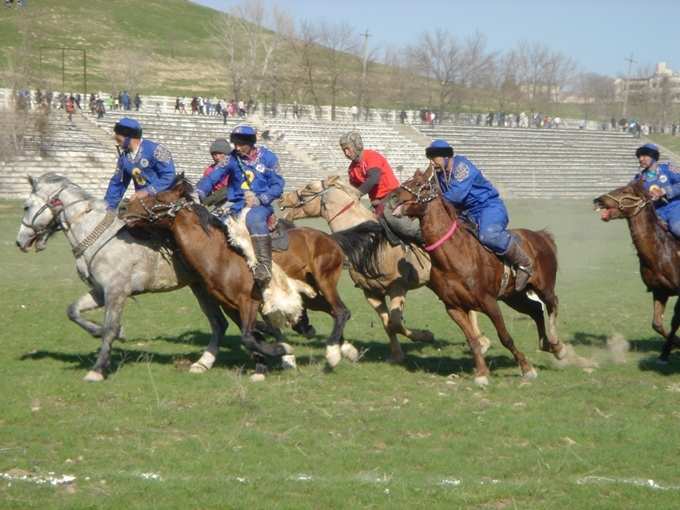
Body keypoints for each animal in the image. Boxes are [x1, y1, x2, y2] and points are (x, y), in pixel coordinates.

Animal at [15, 173, 236, 380]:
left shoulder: (116, 292)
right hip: (200, 287)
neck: (101, 238)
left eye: (26, 207)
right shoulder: (100, 292)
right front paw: (102, 332)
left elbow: (110, 328)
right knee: (219, 323)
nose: (20, 242)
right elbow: (73, 311)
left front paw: (98, 369)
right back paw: (203, 363)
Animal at [123, 178, 356, 374]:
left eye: (159, 198)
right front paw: (262, 365)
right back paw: (343, 348)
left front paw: (282, 349)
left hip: (325, 281)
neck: (220, 255)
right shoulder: (229, 305)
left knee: (341, 311)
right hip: (310, 295)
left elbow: (248, 337)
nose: (125, 207)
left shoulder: (248, 302)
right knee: (334, 311)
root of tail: (329, 238)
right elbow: (252, 335)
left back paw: (333, 353)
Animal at [282, 175, 488, 362]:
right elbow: (388, 323)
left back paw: (481, 341)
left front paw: (425, 336)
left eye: (309, 187)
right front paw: (397, 355)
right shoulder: (371, 293)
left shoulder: (397, 288)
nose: (283, 199)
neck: (369, 243)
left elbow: (395, 323)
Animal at [390, 169, 564, 384]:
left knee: (552, 303)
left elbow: (505, 337)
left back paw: (557, 345)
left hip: (544, 286)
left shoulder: (489, 302)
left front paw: (526, 368)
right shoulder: (454, 307)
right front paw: (481, 373)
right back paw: (548, 344)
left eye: (419, 184)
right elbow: (472, 340)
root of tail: (541, 236)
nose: (392, 196)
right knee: (535, 310)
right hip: (514, 296)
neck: (455, 255)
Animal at [592, 181, 680, 360]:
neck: (663, 251)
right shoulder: (660, 291)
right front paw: (669, 349)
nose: (598, 200)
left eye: (625, 191)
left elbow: (675, 321)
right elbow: (657, 324)